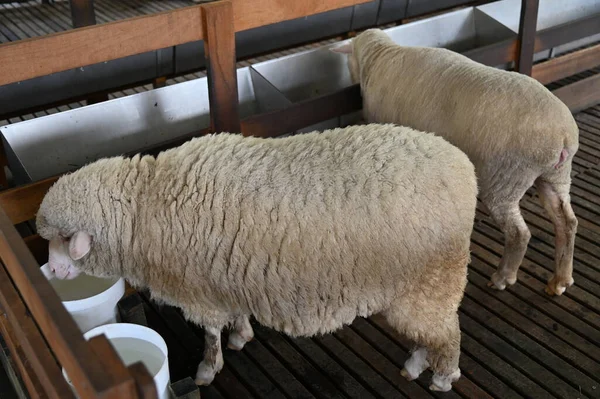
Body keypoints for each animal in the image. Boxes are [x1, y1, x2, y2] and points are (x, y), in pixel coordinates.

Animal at [37, 123, 478, 392]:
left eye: (64, 239)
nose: (53, 271)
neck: (145, 206)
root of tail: (464, 167)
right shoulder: (224, 276)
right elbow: (234, 316)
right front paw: (242, 334)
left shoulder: (199, 289)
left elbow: (210, 334)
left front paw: (207, 368)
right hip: (419, 288)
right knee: (430, 333)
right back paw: (415, 364)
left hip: (433, 279)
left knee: (447, 334)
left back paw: (442, 377)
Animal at [332, 28, 580, 296]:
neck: (380, 55)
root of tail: (563, 137)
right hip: (555, 175)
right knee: (567, 222)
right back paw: (560, 280)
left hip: (507, 178)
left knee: (519, 234)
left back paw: (503, 277)